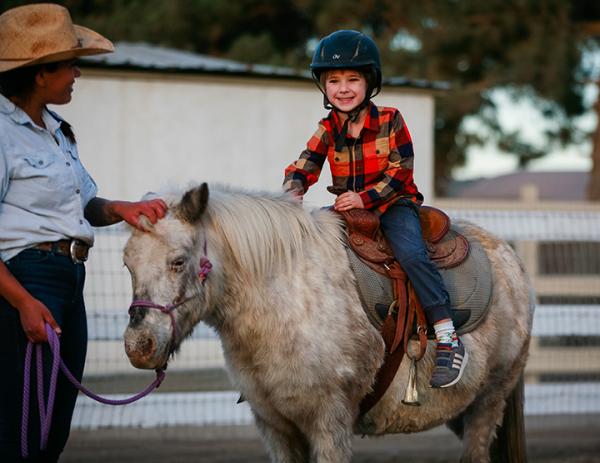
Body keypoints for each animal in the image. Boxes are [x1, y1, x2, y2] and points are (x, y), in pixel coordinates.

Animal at [122, 183, 536, 462]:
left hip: (488, 402)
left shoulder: (329, 423)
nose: (138, 346)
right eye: (128, 263)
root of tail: (511, 260)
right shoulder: (275, 428)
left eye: (178, 261)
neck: (284, 300)